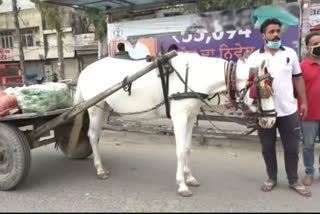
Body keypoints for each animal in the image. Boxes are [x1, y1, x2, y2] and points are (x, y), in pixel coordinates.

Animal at [71, 51, 276, 196]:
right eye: (263, 93)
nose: (271, 120)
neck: (194, 76)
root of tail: (85, 70)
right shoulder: (179, 117)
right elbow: (180, 151)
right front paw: (181, 185)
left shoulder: (191, 117)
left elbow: (187, 149)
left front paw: (189, 177)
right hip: (94, 108)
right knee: (92, 135)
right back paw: (99, 168)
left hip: (104, 107)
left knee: (97, 135)